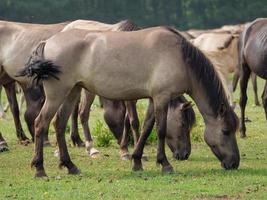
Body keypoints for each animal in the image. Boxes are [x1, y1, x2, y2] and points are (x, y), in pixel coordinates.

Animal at [18, 26, 241, 177]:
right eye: (225, 131)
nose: (234, 163)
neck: (179, 57)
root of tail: (48, 42)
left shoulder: (153, 99)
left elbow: (147, 127)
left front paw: (137, 161)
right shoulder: (161, 97)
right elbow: (160, 130)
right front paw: (165, 164)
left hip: (72, 91)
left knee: (59, 124)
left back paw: (70, 166)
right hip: (57, 94)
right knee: (41, 123)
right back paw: (40, 169)